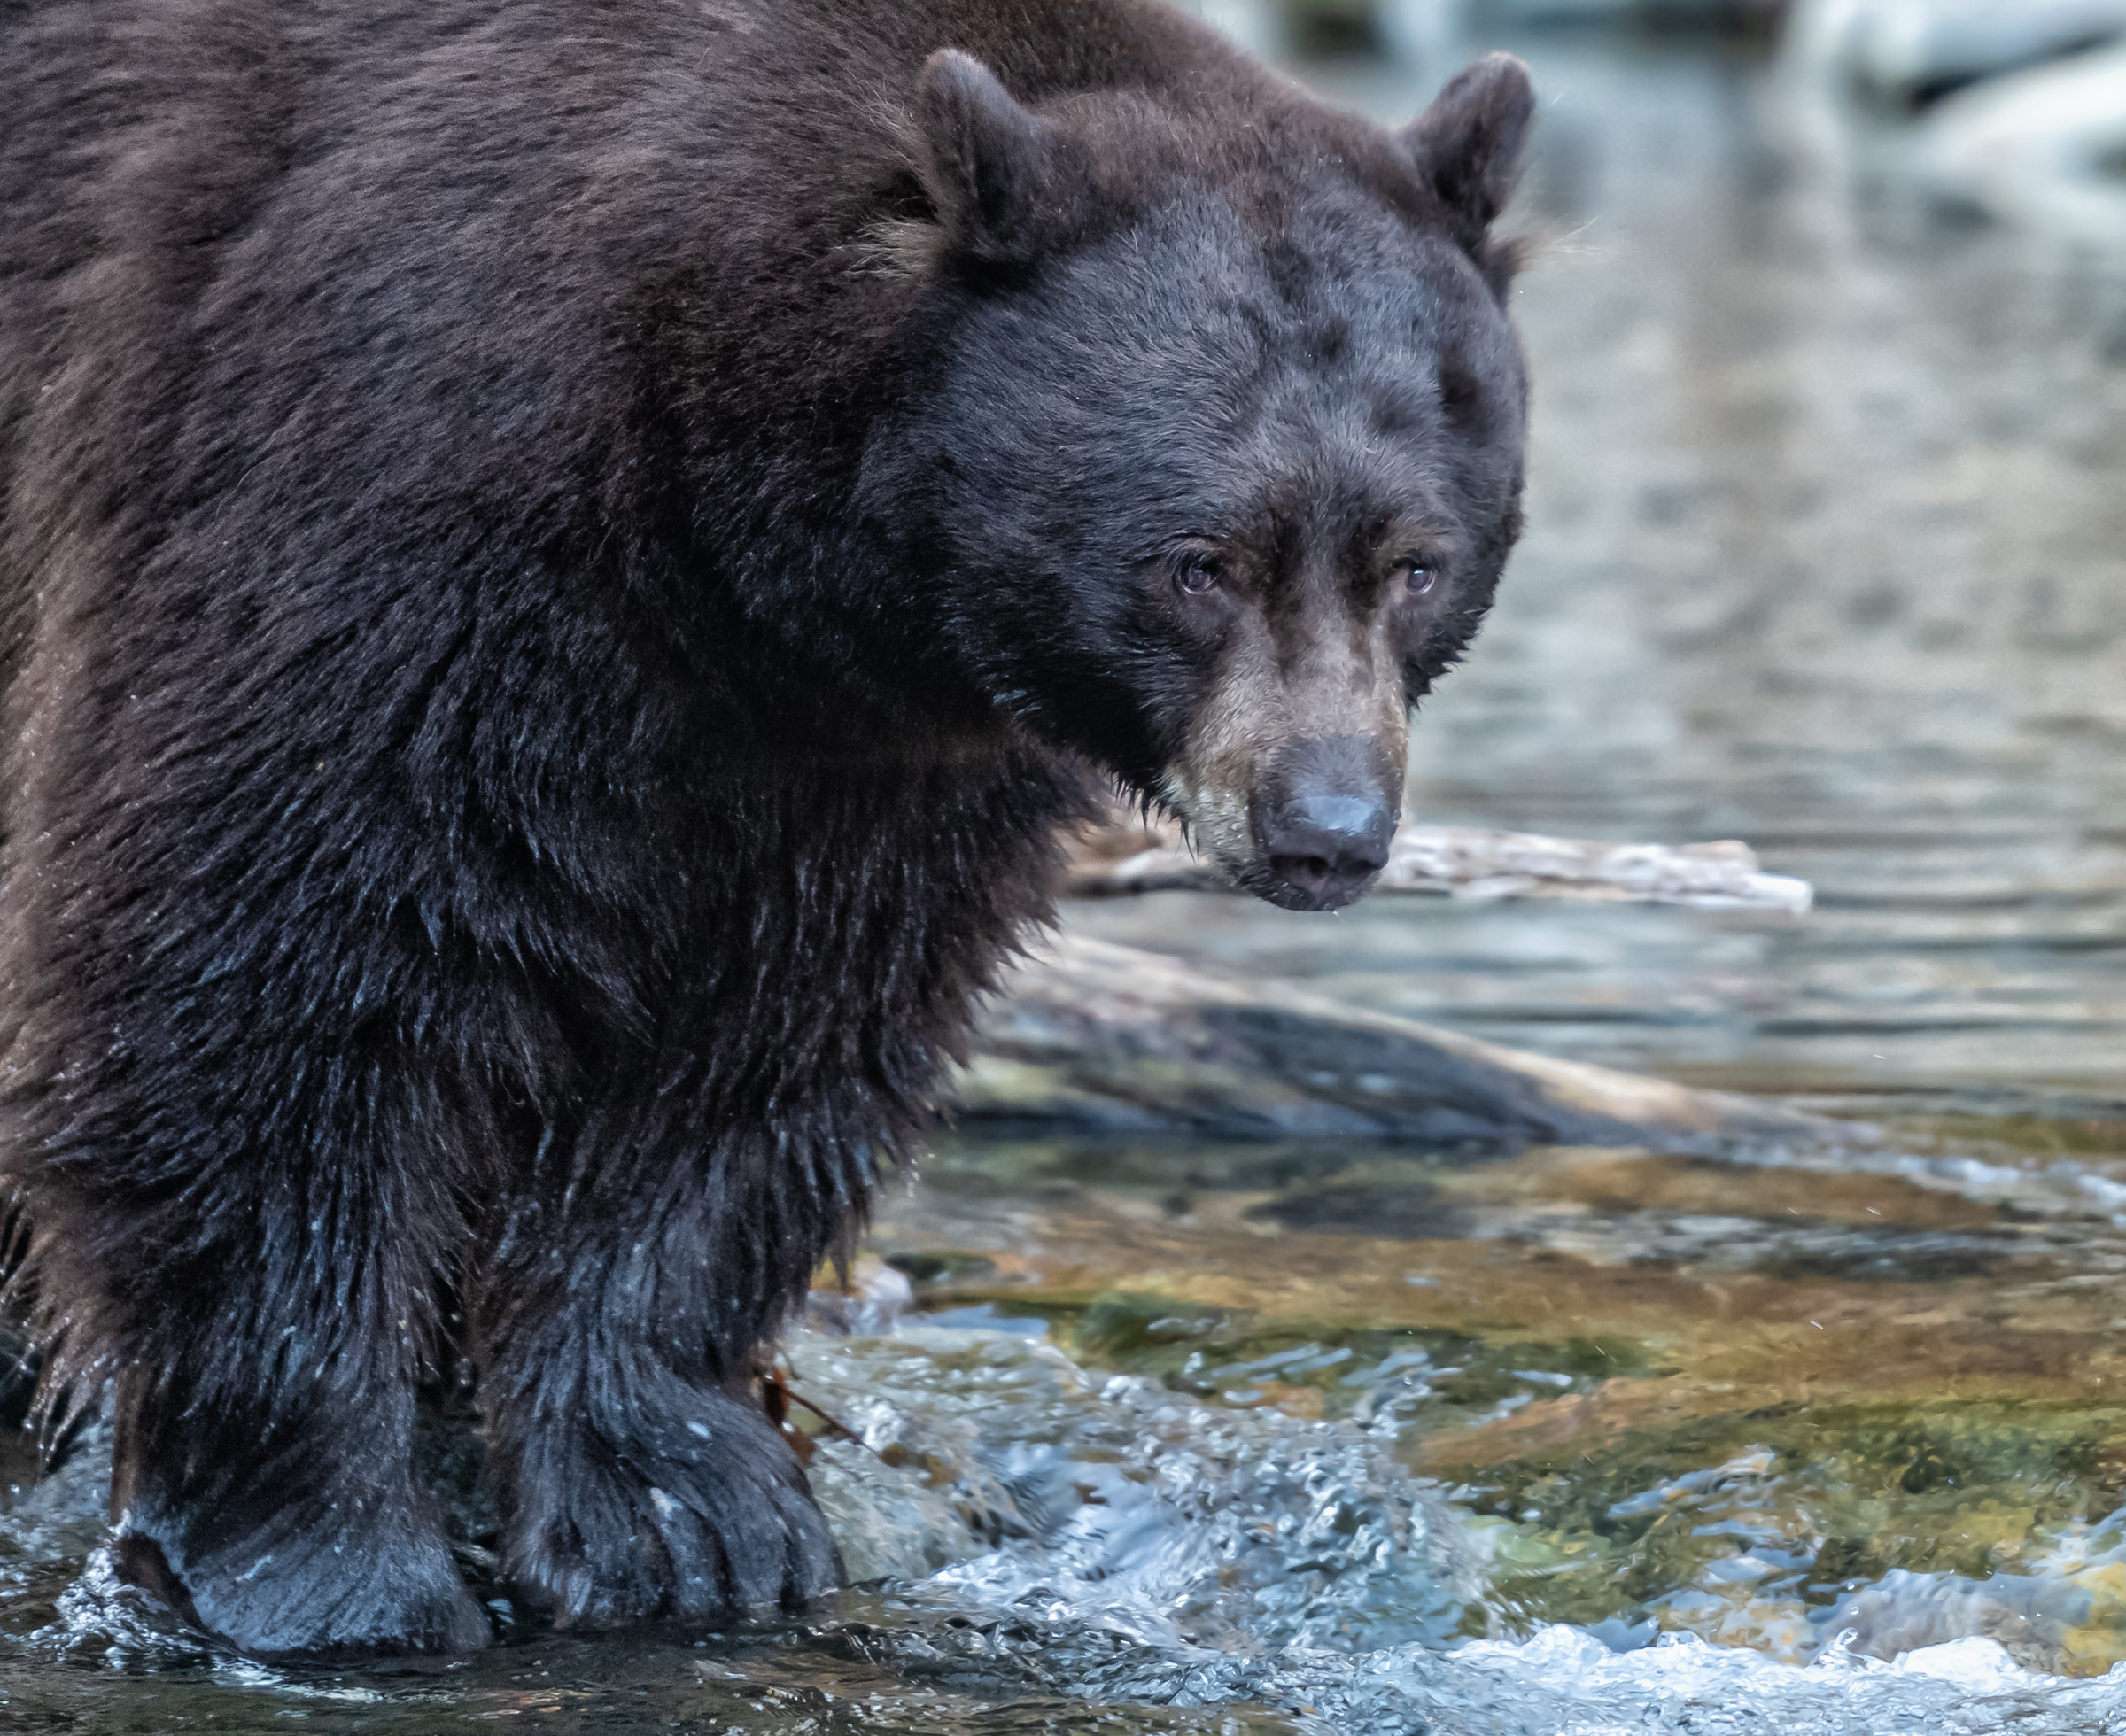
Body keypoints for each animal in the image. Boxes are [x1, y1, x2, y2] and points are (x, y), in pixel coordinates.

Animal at [0, 0, 1531, 1648]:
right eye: (1200, 562)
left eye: (1418, 563)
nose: (1327, 827)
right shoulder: (378, 471)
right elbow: (276, 959)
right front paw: (326, 1562)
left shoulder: (855, 754)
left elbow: (769, 1038)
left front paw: (679, 1505)